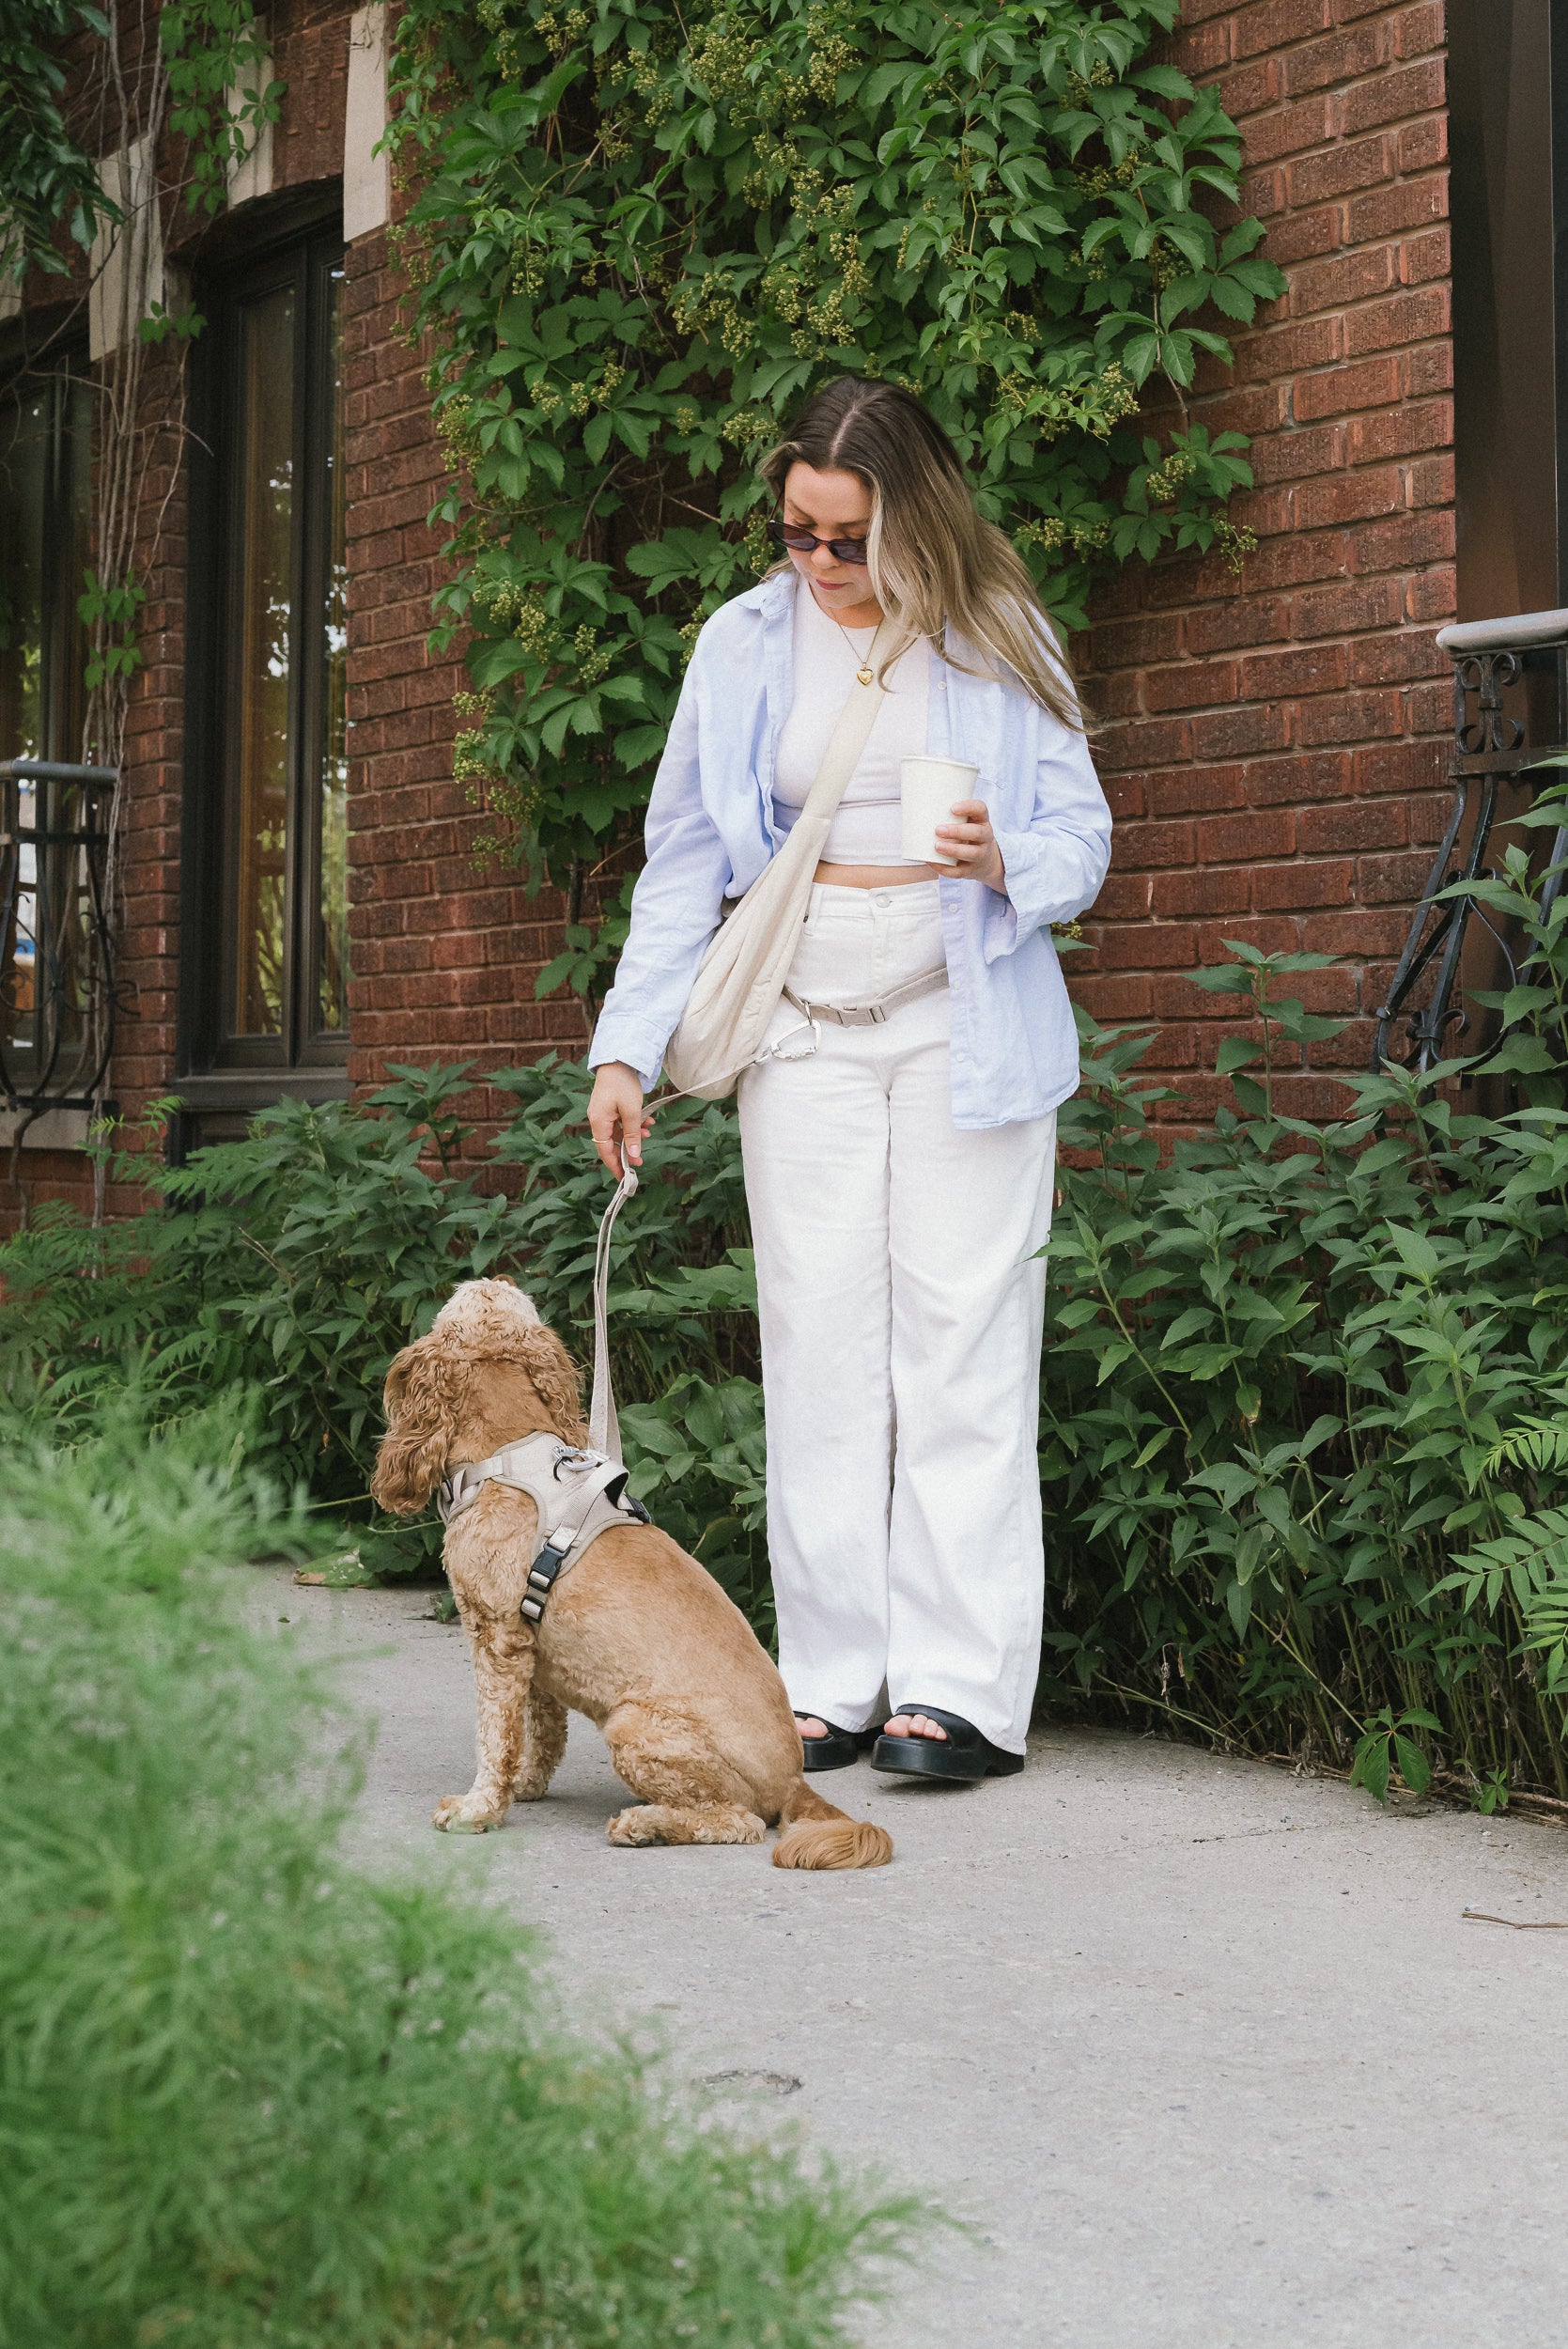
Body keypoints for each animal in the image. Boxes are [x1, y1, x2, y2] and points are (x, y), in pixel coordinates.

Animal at [361, 1287, 887, 1870]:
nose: (495, 1275)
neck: (509, 1448)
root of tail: (794, 1782)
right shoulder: (532, 1648)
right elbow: (541, 1729)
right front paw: (526, 1784)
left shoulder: (497, 1640)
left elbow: (495, 1737)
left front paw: (478, 1809)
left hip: (631, 1725)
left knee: (738, 1822)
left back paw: (643, 1824)